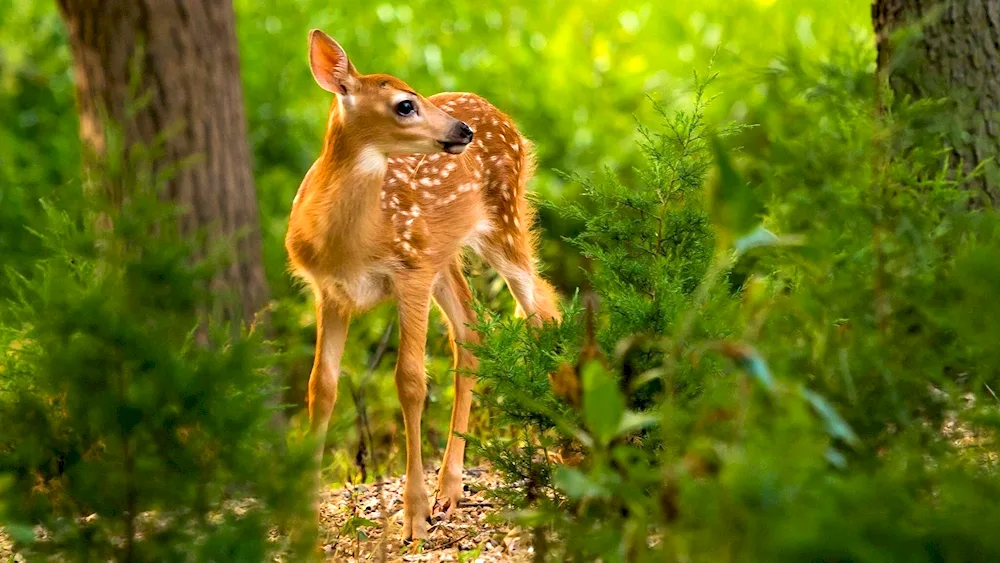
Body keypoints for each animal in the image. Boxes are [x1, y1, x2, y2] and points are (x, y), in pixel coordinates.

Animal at [286, 30, 560, 540]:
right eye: (405, 105)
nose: (462, 131)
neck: (350, 242)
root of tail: (499, 113)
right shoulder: (329, 292)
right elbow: (321, 386)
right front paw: (304, 521)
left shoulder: (409, 272)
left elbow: (410, 380)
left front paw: (413, 515)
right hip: (443, 255)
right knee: (472, 331)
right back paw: (450, 489)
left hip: (505, 221)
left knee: (541, 309)